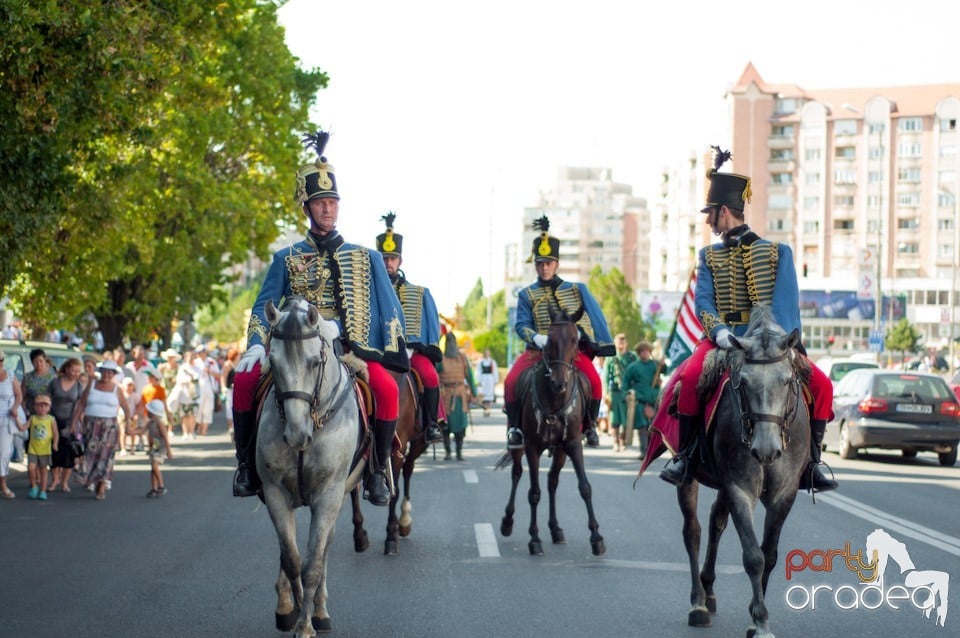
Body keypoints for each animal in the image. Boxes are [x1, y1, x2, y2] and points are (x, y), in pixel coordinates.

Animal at [256, 298, 362, 636]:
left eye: (315, 362)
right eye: (272, 361)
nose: (296, 435)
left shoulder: (329, 494)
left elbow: (313, 564)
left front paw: (307, 624)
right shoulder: (274, 493)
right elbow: (292, 560)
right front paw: (295, 610)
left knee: (324, 548)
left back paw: (320, 610)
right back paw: (288, 607)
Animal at [348, 372, 428, 556]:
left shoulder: (400, 445)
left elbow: (395, 492)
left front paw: (391, 536)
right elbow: (353, 490)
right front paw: (359, 535)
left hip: (418, 442)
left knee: (408, 469)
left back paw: (404, 521)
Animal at [498, 308, 604, 556]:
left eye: (575, 340)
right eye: (550, 340)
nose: (559, 382)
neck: (554, 398)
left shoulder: (573, 444)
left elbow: (585, 487)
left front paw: (596, 538)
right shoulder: (532, 447)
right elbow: (533, 493)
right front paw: (534, 539)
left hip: (560, 451)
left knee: (552, 481)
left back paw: (555, 529)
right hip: (518, 445)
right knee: (517, 474)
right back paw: (507, 521)